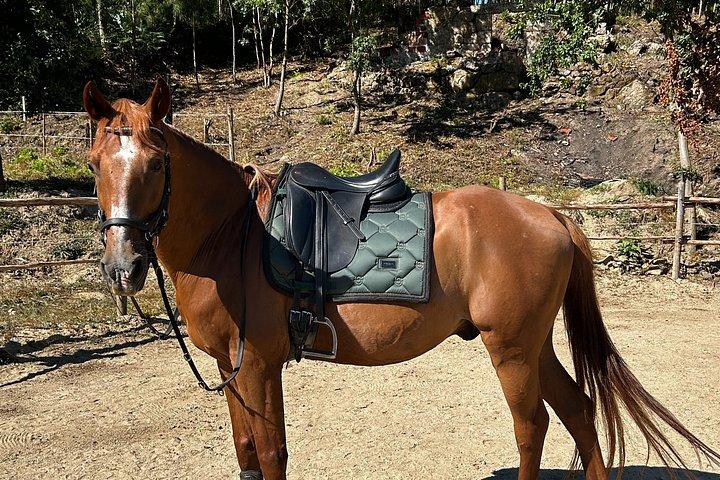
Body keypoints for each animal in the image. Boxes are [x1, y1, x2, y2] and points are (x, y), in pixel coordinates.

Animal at [83, 78, 718, 480]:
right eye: (94, 164)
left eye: (157, 163)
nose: (123, 266)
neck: (233, 235)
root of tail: (551, 214)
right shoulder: (229, 367)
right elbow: (246, 455)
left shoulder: (259, 365)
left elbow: (272, 454)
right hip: (534, 345)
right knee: (580, 412)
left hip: (511, 349)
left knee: (532, 425)